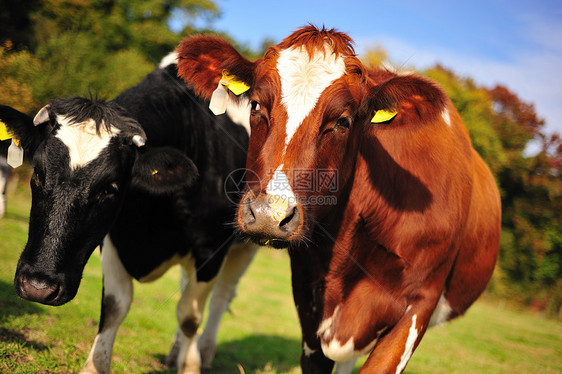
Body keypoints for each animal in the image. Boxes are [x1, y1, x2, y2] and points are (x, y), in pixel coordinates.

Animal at [0, 54, 256, 372]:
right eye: (37, 174)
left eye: (110, 189)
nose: (37, 287)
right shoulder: (112, 237)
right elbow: (114, 305)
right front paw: (94, 365)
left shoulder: (209, 248)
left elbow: (189, 316)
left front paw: (191, 365)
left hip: (244, 248)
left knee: (221, 297)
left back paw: (203, 352)